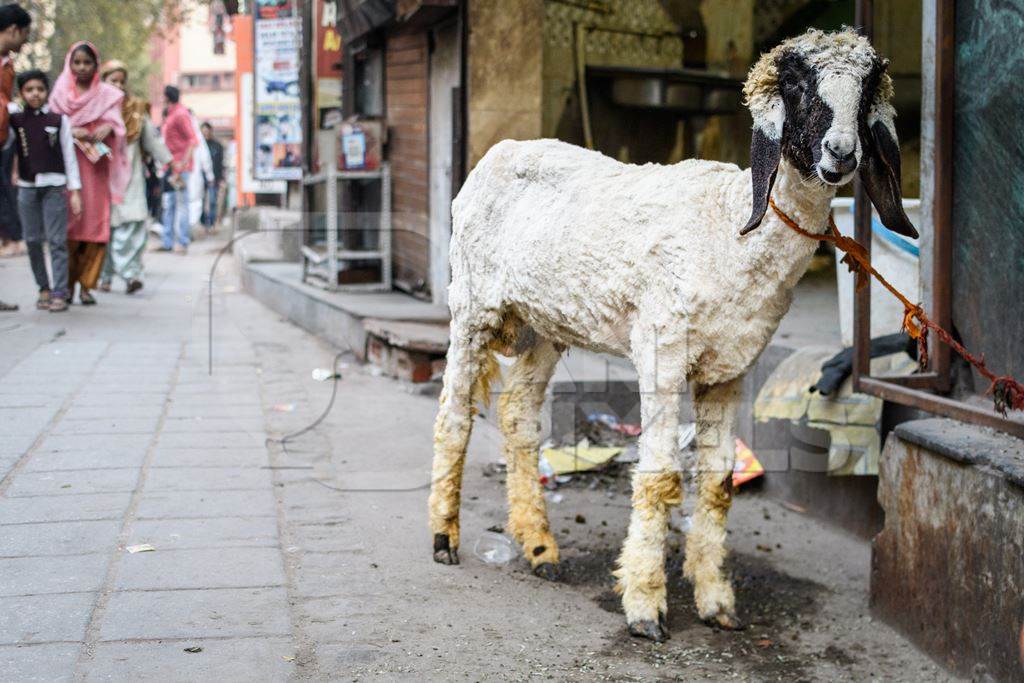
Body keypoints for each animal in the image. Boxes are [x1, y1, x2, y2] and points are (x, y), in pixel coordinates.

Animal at [428, 29, 917, 643]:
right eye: (798, 86)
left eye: (868, 90)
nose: (841, 154)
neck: (730, 229)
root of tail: (501, 150)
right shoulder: (660, 352)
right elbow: (659, 476)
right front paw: (645, 604)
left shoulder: (730, 369)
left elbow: (717, 481)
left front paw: (716, 600)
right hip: (472, 303)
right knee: (454, 415)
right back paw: (444, 537)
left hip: (546, 323)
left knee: (518, 416)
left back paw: (540, 547)